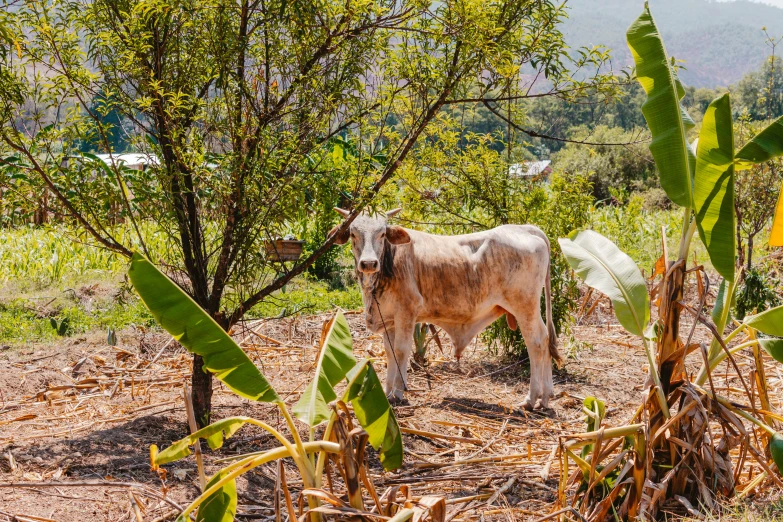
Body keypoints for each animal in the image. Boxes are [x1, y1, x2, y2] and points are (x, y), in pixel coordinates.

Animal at [330, 206, 564, 406]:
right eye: (353, 234)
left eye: (382, 234)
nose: (369, 263)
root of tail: (525, 228)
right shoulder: (389, 319)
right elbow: (390, 353)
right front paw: (387, 392)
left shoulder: (407, 312)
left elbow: (401, 350)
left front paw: (397, 393)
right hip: (532, 310)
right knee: (546, 340)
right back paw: (546, 396)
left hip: (525, 307)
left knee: (536, 343)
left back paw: (532, 399)